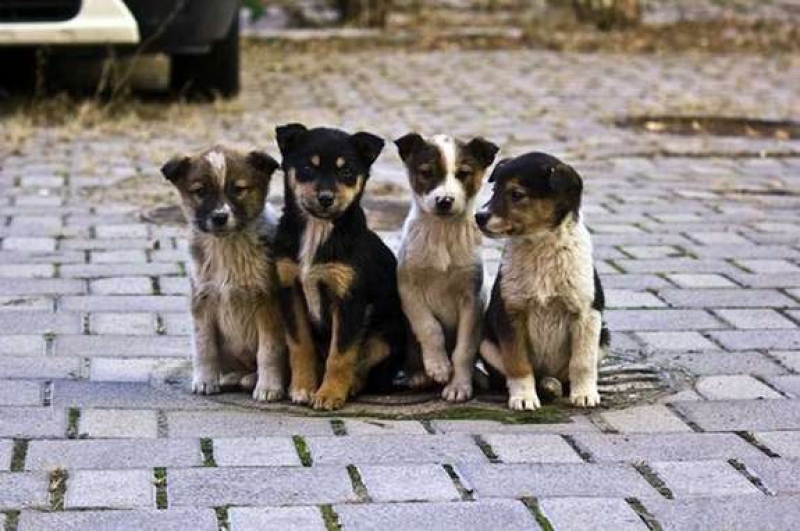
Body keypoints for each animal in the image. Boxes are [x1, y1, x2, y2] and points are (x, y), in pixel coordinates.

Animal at [162, 145, 288, 404]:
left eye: (238, 190)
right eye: (200, 192)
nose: (220, 217)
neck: (227, 247)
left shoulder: (268, 302)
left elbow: (269, 350)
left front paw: (268, 387)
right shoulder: (202, 299)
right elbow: (204, 346)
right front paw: (205, 381)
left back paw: (252, 379)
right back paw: (233, 377)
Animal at [272, 124, 406, 412]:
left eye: (346, 172)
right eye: (308, 168)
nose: (325, 199)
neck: (318, 229)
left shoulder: (349, 299)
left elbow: (341, 354)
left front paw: (329, 394)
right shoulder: (290, 289)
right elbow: (300, 345)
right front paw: (302, 387)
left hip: (386, 334)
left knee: (366, 366)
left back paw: (351, 386)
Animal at [396, 134, 500, 404]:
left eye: (463, 174)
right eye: (426, 172)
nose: (444, 201)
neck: (442, 232)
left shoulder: (473, 300)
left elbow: (464, 350)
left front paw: (458, 385)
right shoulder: (409, 289)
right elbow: (429, 327)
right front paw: (438, 366)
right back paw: (418, 375)